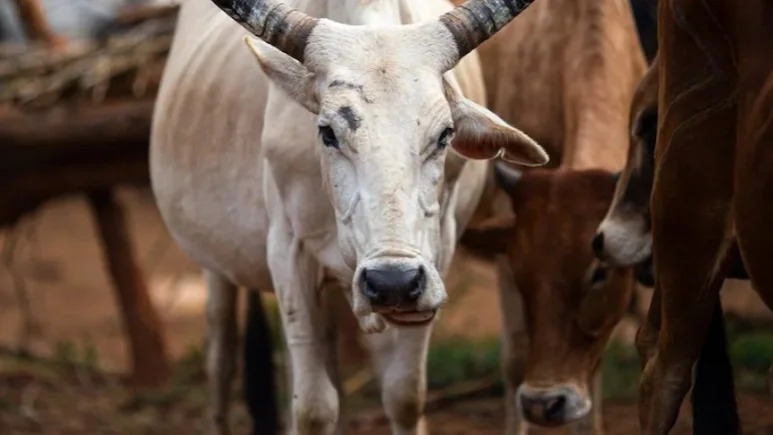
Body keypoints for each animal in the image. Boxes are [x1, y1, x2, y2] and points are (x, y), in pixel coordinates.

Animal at [149, 0, 548, 434]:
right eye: (327, 133)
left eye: (445, 134)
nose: (392, 283)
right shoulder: (288, 253)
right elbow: (313, 408)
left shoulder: (435, 259)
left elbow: (405, 396)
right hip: (216, 270)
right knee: (220, 359)